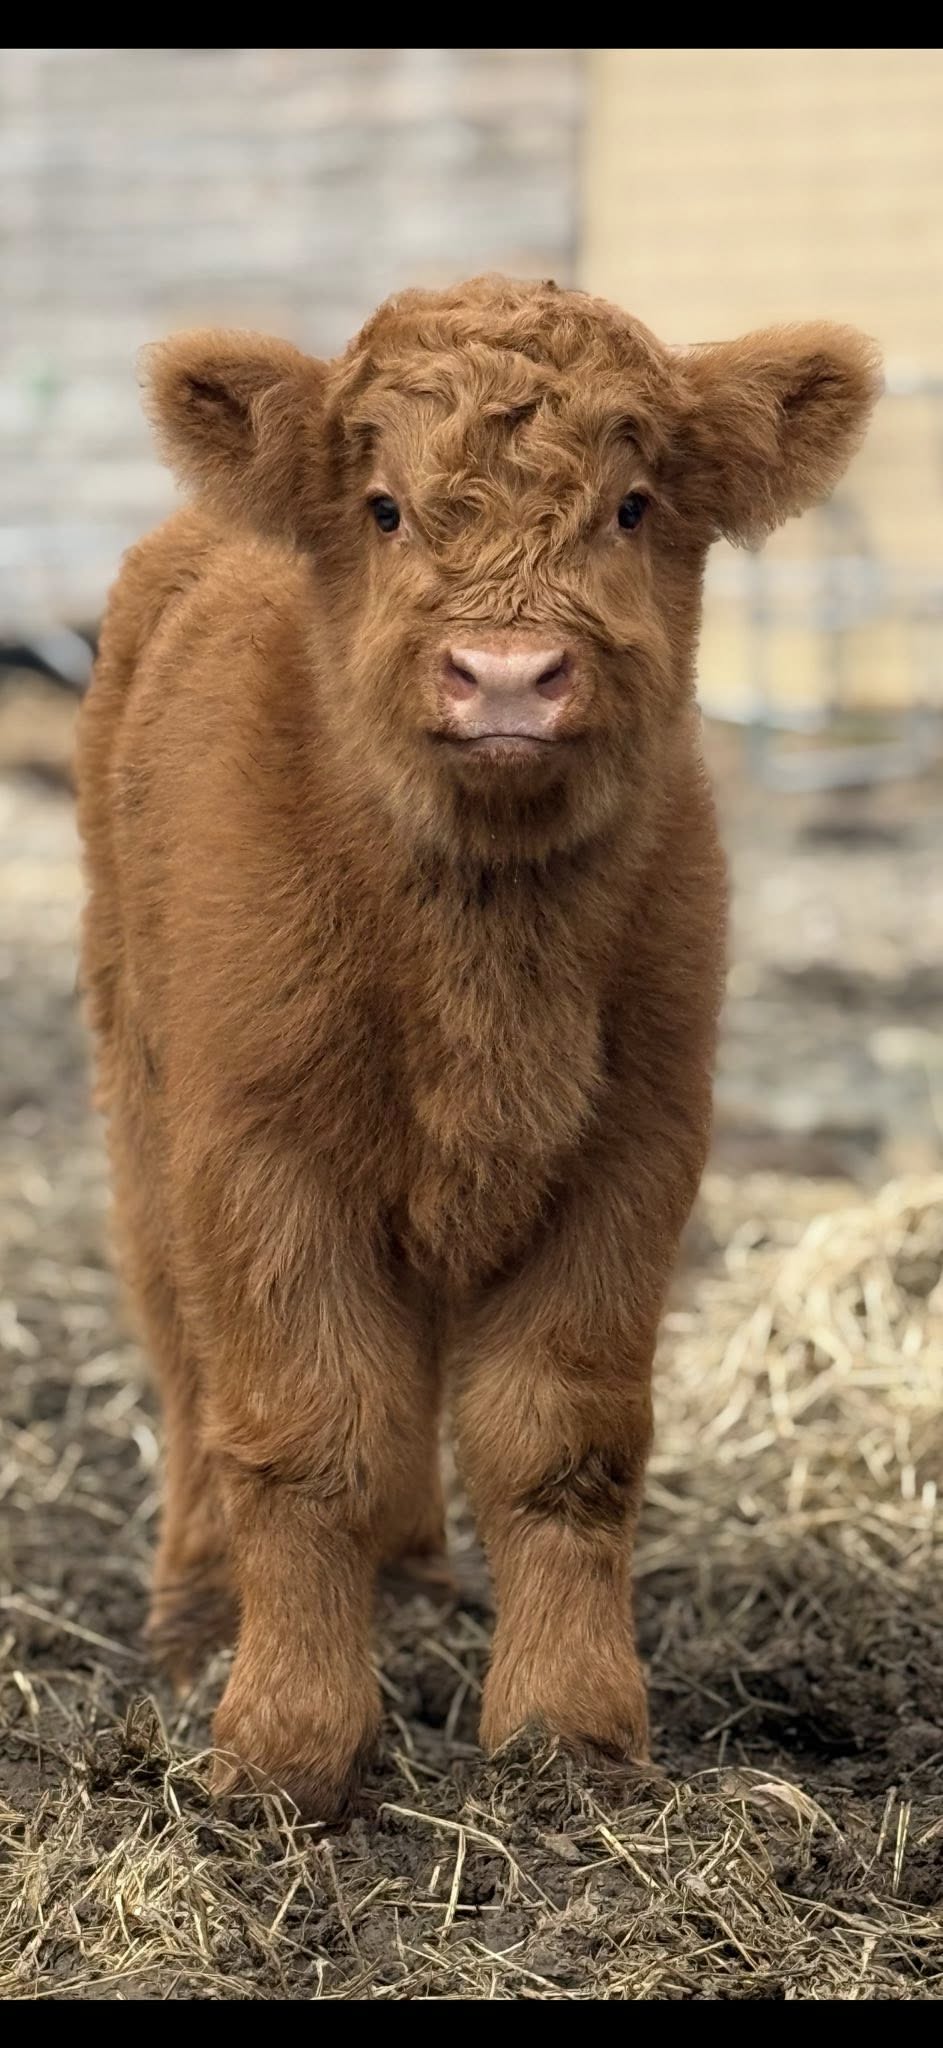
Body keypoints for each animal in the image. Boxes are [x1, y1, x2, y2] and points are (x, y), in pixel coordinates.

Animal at [75, 276, 880, 1816]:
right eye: (384, 506)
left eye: (631, 504)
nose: (506, 675)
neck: (481, 958)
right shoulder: (256, 1151)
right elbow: (299, 1427)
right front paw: (284, 1746)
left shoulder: (633, 1148)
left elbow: (559, 1441)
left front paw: (570, 1733)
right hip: (140, 1103)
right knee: (186, 1354)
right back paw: (194, 1610)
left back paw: (414, 1578)